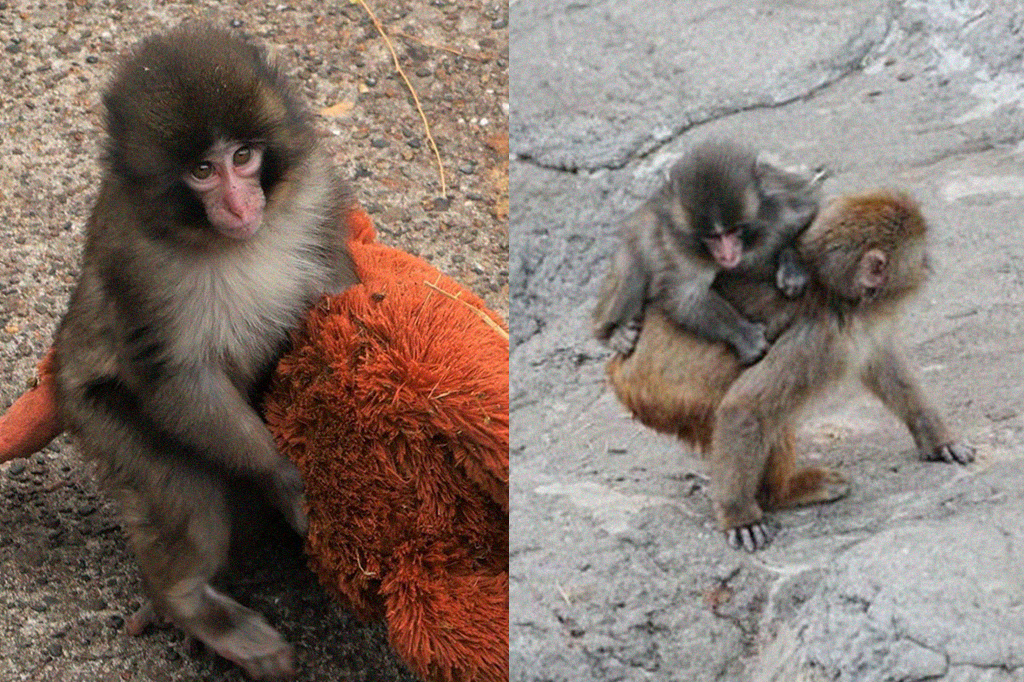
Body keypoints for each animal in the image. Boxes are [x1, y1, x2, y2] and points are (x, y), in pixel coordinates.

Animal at [52, 25, 357, 679]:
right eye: (201, 170)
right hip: (96, 416)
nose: (241, 206)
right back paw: (189, 603)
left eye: (243, 157)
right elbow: (176, 379)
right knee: (183, 492)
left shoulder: (314, 194)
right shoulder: (137, 261)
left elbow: (338, 292)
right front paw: (283, 477)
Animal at [592, 140, 820, 364]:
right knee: (631, 269)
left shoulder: (784, 202)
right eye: (712, 237)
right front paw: (743, 334)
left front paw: (791, 266)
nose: (727, 256)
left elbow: (808, 213)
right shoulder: (678, 248)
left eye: (733, 231)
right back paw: (612, 334)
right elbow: (686, 296)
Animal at [606, 191, 974, 552]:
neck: (833, 291)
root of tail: (618, 368)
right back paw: (783, 493)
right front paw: (739, 517)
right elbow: (744, 407)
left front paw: (937, 437)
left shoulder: (857, 326)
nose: (929, 265)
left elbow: (882, 362)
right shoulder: (819, 338)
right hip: (668, 396)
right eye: (920, 254)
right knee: (764, 415)